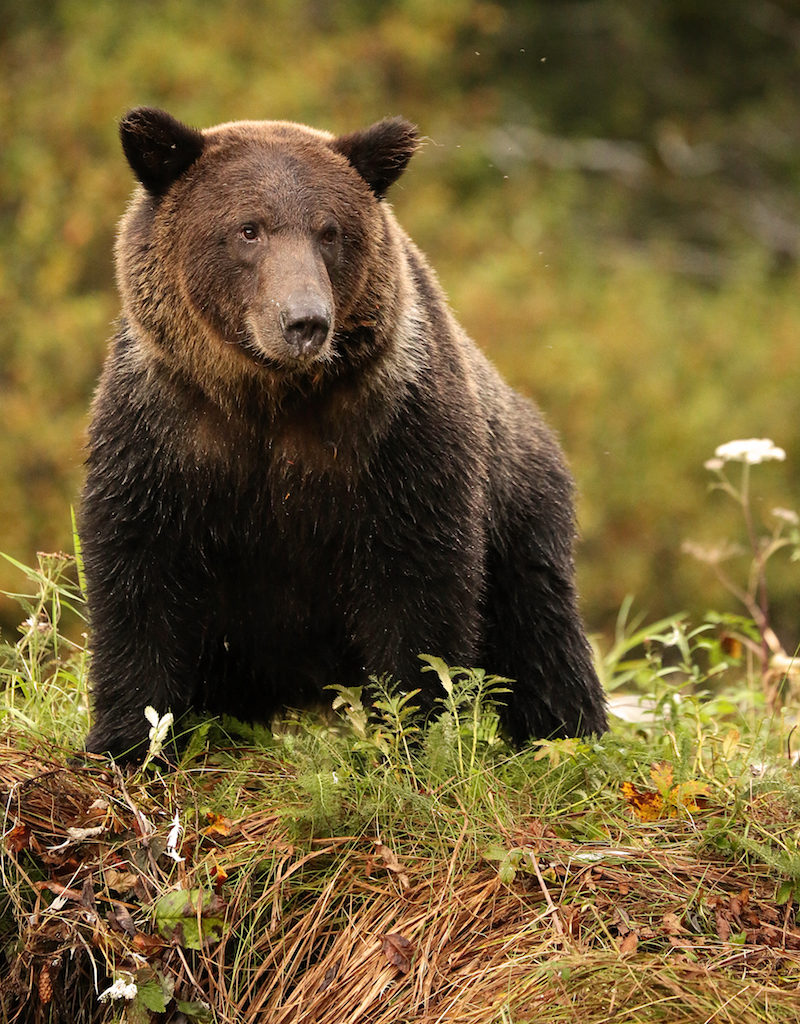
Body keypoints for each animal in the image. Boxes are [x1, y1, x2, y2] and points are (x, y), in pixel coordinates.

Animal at [82, 108, 606, 761]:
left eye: (329, 232)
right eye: (248, 229)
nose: (304, 321)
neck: (268, 399)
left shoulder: (393, 435)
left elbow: (417, 586)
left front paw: (412, 732)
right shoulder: (167, 433)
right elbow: (138, 570)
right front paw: (129, 737)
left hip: (520, 512)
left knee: (541, 634)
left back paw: (568, 737)